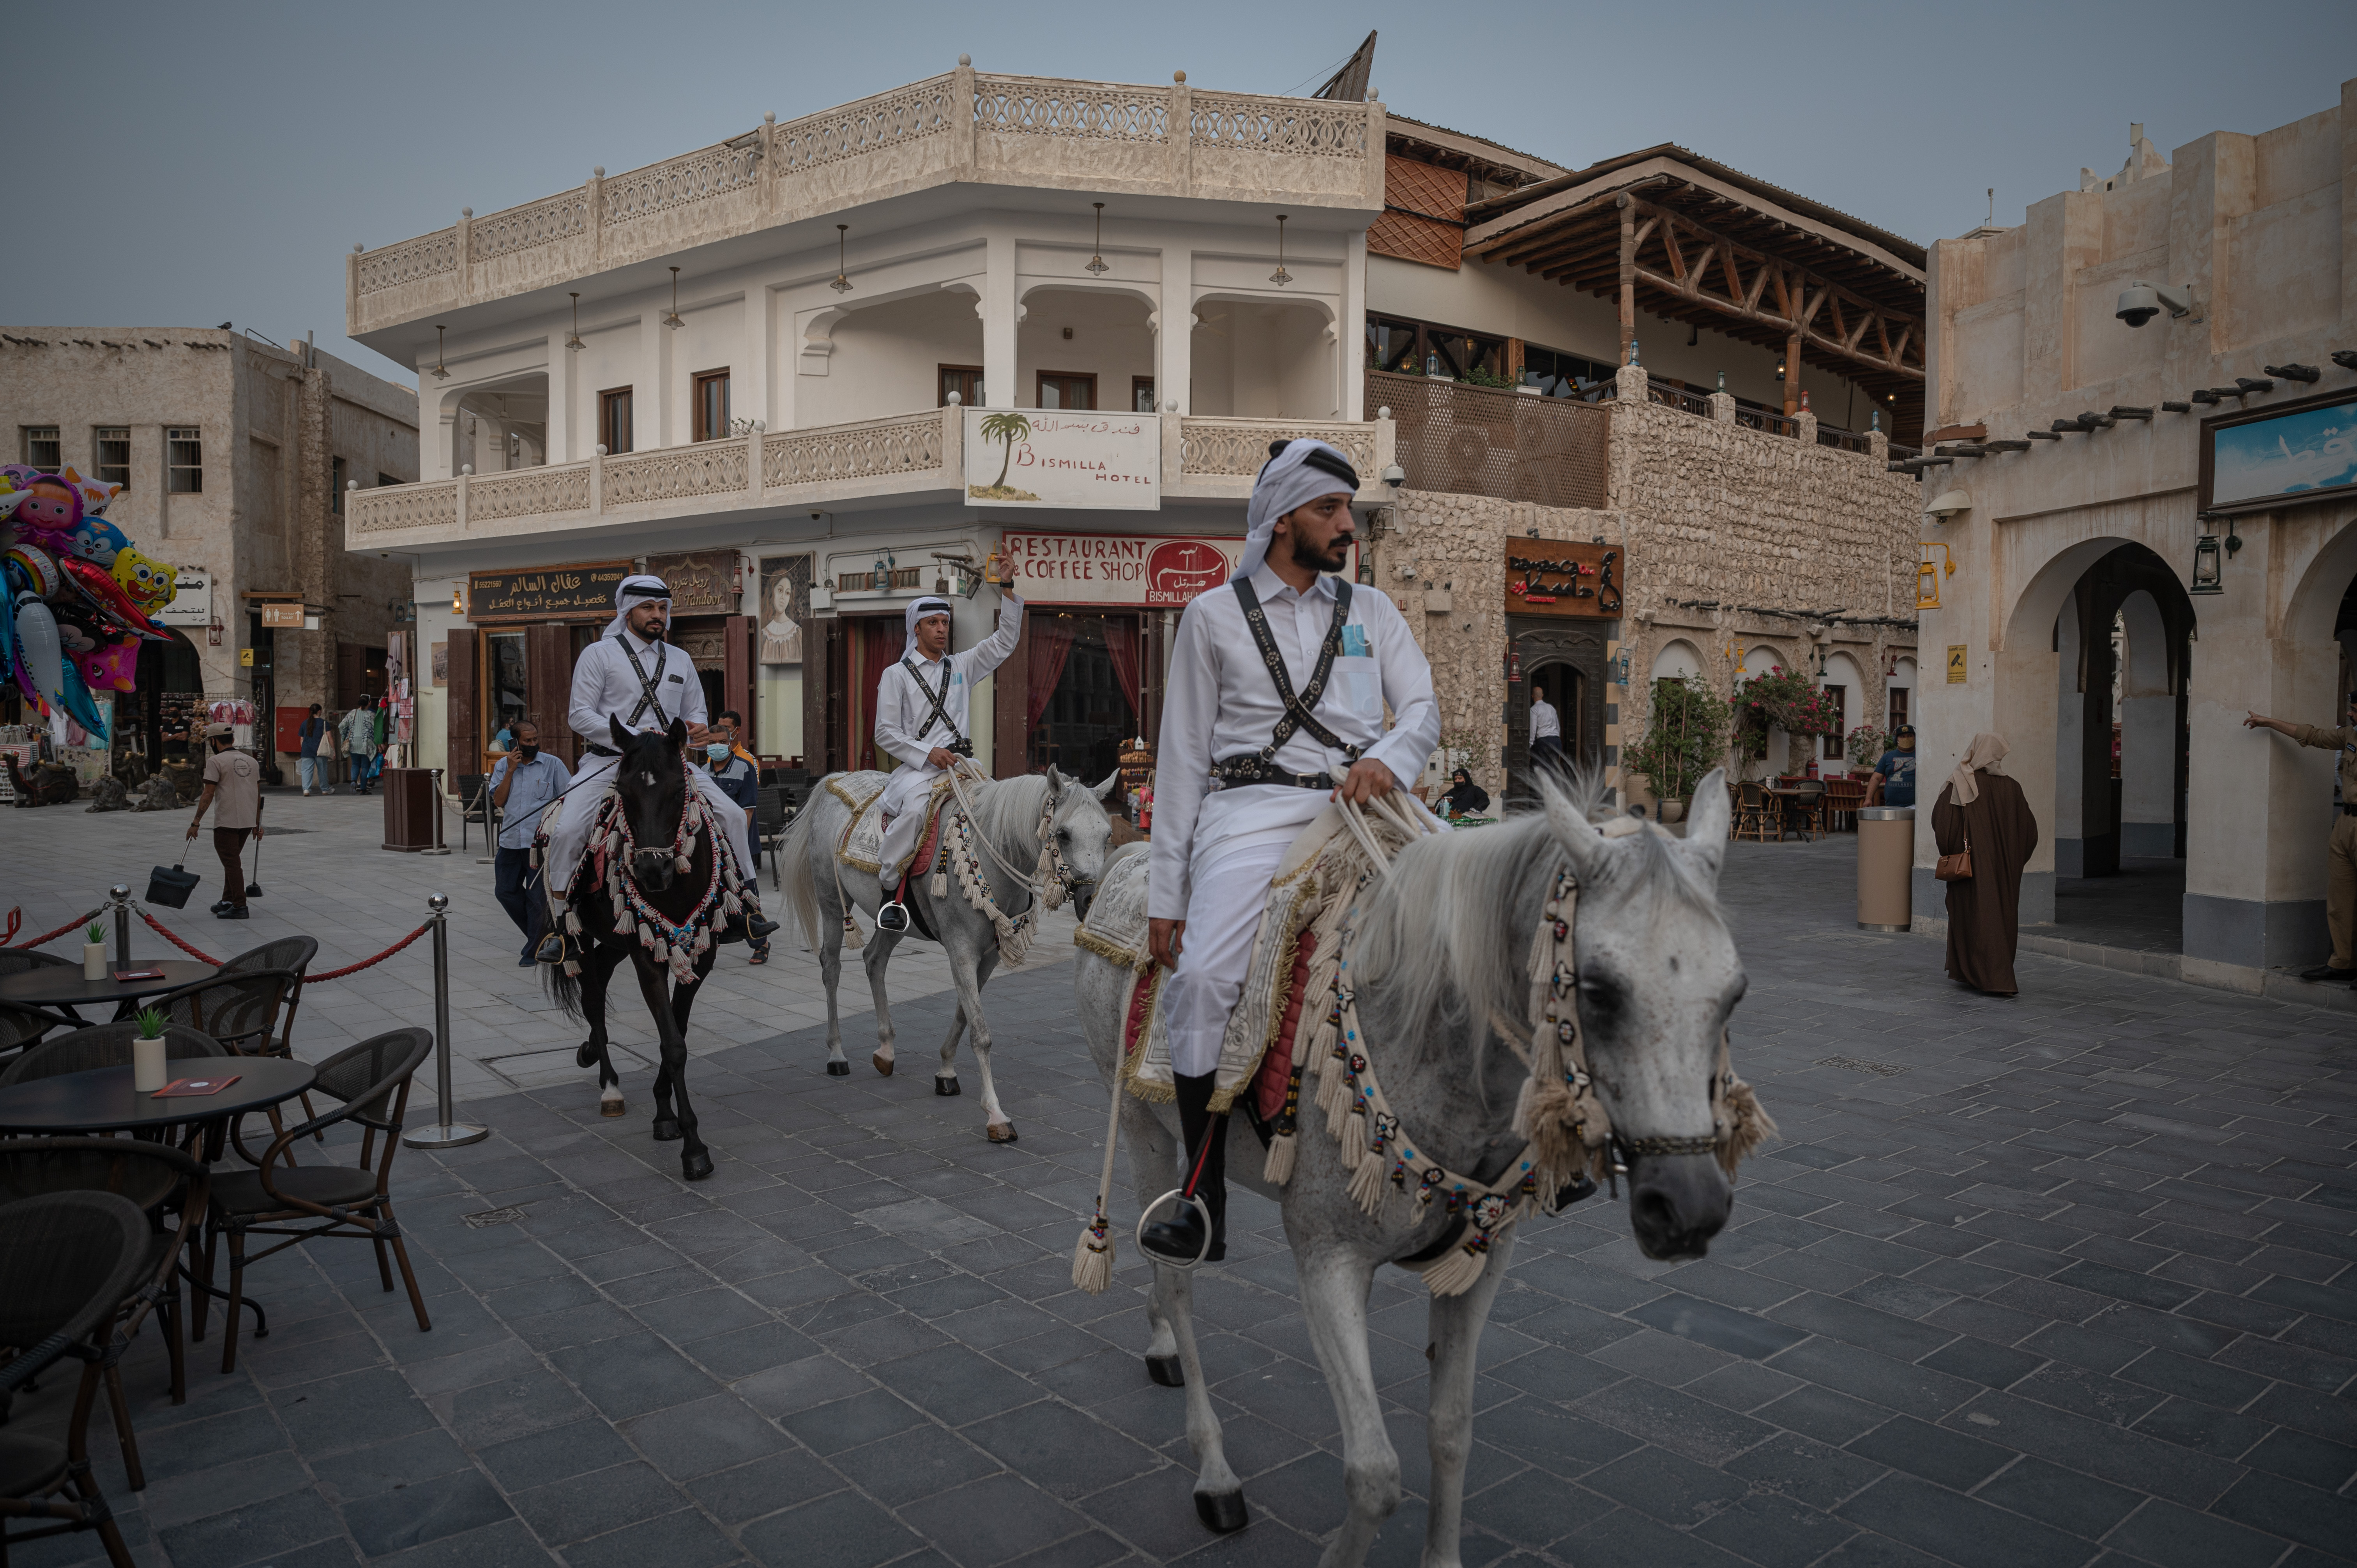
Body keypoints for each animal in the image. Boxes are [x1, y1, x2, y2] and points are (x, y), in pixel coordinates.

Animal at [777, 768, 1117, 1136]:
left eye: (1108, 834)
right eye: (1064, 834)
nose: (1090, 900)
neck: (991, 852)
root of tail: (836, 778)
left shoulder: (988, 956)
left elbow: (964, 1014)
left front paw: (946, 1072)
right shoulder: (962, 949)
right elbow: (981, 1033)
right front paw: (996, 1114)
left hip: (896, 921)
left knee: (874, 960)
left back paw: (886, 1049)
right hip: (829, 899)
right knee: (832, 968)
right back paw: (837, 1054)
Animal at [1074, 773, 1753, 1565]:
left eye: (1734, 992)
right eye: (1599, 989)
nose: (1691, 1207)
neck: (1432, 1033)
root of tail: (1128, 860)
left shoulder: (1481, 1263)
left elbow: (1451, 1430)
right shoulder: (1329, 1260)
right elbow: (1374, 1474)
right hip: (1143, 1127)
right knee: (1175, 1277)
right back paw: (1214, 1471)